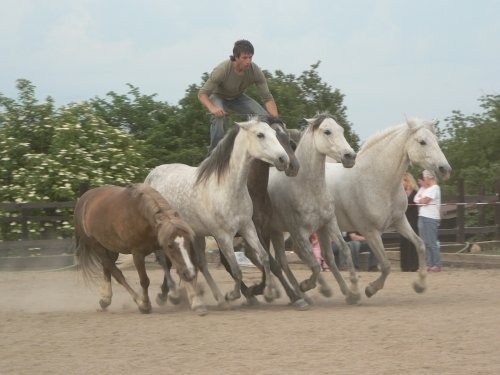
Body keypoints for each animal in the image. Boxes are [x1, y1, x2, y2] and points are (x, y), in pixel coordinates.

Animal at [74, 184, 207, 316]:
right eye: (170, 245)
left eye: (189, 241)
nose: (190, 273)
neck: (141, 217)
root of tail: (84, 199)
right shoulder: (137, 254)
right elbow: (144, 280)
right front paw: (145, 304)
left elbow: (177, 269)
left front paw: (196, 302)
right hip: (97, 246)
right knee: (115, 272)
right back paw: (137, 301)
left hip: (111, 248)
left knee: (107, 268)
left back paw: (105, 299)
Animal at [144, 118, 290, 308]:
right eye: (260, 135)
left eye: (274, 134)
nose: (283, 159)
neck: (227, 188)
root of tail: (150, 175)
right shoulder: (223, 236)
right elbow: (235, 269)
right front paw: (234, 295)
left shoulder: (247, 227)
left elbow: (264, 257)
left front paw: (270, 292)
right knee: (164, 259)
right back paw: (173, 294)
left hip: (196, 235)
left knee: (199, 264)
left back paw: (217, 297)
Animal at [270, 114, 360, 306]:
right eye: (327, 131)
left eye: (341, 129)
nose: (350, 156)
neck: (308, 188)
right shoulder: (300, 232)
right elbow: (316, 264)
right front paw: (306, 285)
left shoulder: (327, 224)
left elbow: (340, 252)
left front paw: (352, 293)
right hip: (274, 233)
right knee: (279, 261)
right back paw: (297, 295)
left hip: (281, 232)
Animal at [326, 117, 452, 300]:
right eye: (422, 142)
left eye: (436, 140)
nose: (445, 169)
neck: (374, 179)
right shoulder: (370, 231)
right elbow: (385, 265)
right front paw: (370, 289)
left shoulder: (399, 221)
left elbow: (420, 245)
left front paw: (419, 285)